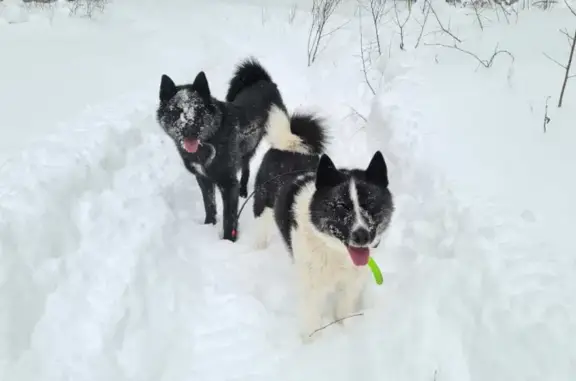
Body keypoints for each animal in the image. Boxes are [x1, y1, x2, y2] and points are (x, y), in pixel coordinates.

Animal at [156, 56, 286, 240]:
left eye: (198, 109)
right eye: (176, 111)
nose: (189, 130)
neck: (210, 140)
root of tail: (263, 81)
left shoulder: (228, 184)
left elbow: (228, 217)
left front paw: (228, 240)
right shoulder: (203, 179)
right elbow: (209, 204)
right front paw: (209, 225)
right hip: (246, 148)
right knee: (245, 167)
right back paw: (243, 190)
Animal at [253, 105, 394, 340]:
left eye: (371, 205)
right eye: (341, 207)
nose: (362, 235)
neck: (335, 251)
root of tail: (288, 145)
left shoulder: (351, 284)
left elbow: (344, 313)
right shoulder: (312, 288)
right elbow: (311, 322)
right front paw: (312, 344)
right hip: (261, 208)